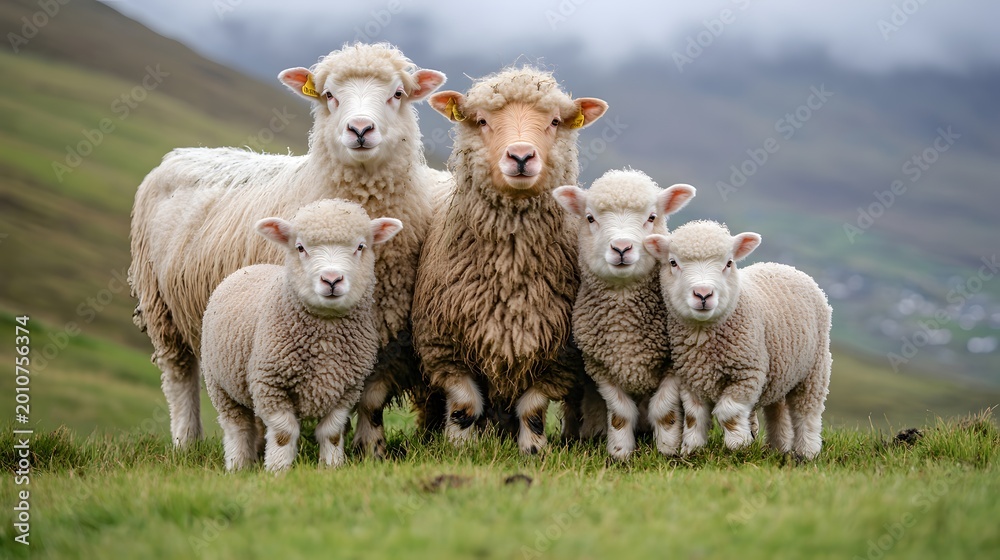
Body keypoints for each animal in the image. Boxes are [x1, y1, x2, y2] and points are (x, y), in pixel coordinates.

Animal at [202, 199, 403, 472]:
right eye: (300, 248)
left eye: (361, 246)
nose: (331, 279)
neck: (324, 337)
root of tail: (250, 268)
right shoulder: (271, 384)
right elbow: (283, 434)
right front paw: (278, 470)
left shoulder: (346, 390)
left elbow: (332, 433)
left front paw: (331, 467)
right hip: (220, 384)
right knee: (237, 427)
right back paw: (237, 466)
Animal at [411, 66, 608, 454]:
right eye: (482, 120)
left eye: (555, 121)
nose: (520, 156)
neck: (510, 271)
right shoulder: (443, 348)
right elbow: (464, 405)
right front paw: (459, 449)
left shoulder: (559, 355)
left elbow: (532, 409)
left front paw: (534, 450)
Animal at [552, 169, 702, 460]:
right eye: (590, 218)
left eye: (652, 217)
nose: (621, 248)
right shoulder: (599, 367)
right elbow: (620, 413)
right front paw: (620, 452)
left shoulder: (674, 365)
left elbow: (663, 410)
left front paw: (667, 449)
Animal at [642, 220, 832, 459]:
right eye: (673, 262)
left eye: (729, 263)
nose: (703, 294)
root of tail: (786, 267)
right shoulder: (690, 380)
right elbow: (694, 416)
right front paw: (692, 450)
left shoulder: (746, 375)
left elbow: (729, 413)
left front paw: (737, 447)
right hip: (781, 370)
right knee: (777, 411)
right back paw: (778, 448)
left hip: (815, 368)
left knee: (807, 412)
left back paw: (807, 452)